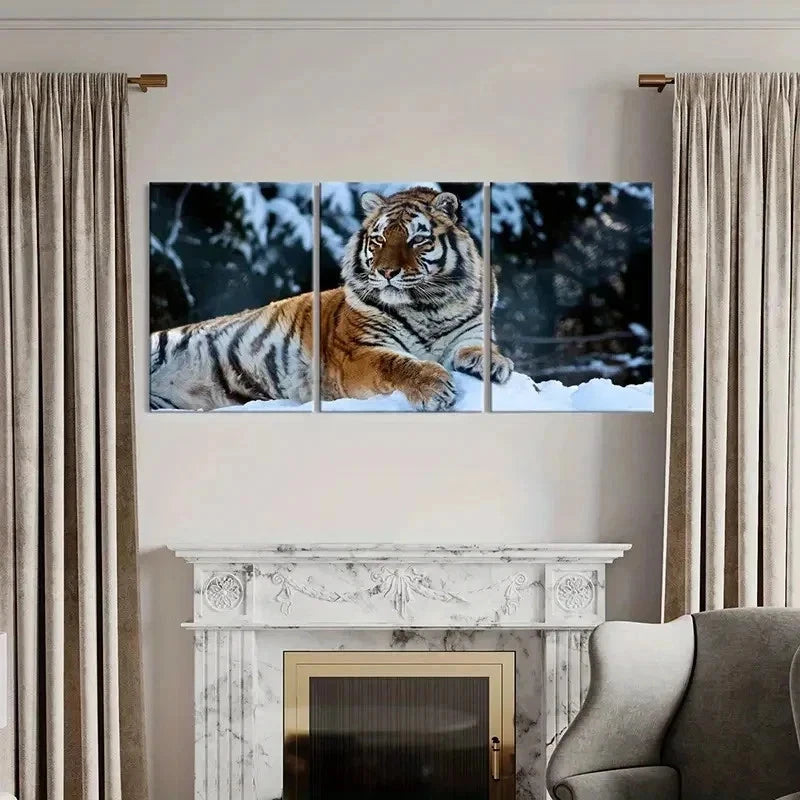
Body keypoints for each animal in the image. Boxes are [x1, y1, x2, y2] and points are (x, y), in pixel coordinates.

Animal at [149, 186, 514, 411]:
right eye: (379, 240)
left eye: (417, 240)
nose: (387, 272)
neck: (429, 306)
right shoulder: (356, 352)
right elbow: (394, 363)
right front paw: (433, 385)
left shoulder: (471, 331)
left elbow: (482, 347)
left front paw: (494, 363)